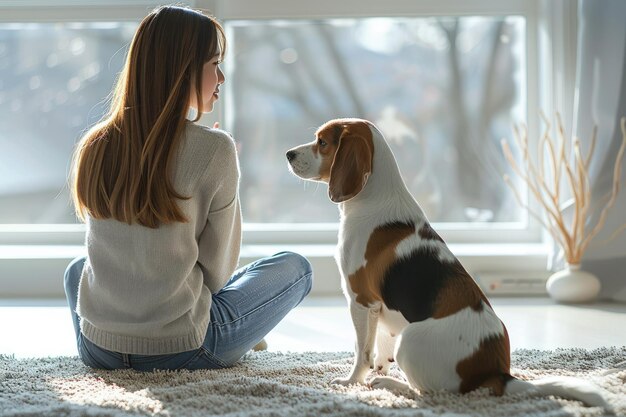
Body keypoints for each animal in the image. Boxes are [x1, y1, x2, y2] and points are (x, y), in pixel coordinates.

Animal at [288, 118, 608, 410]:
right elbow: (380, 347)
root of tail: (496, 372)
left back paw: (390, 384)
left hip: (409, 339)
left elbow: (361, 351)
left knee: (428, 393)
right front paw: (377, 368)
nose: (289, 154)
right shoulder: (380, 308)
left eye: (322, 142)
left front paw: (352, 381)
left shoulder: (361, 300)